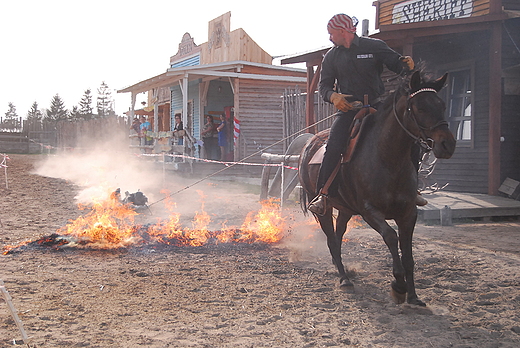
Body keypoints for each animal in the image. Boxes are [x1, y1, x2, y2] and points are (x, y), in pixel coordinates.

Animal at [298, 70, 458, 304]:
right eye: (420, 107)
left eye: (442, 105)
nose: (447, 144)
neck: (388, 160)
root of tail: (308, 145)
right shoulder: (370, 212)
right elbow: (391, 237)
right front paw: (398, 285)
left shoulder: (409, 214)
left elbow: (408, 254)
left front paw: (413, 295)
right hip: (322, 208)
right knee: (330, 239)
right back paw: (344, 278)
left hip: (345, 209)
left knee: (338, 235)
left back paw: (343, 270)